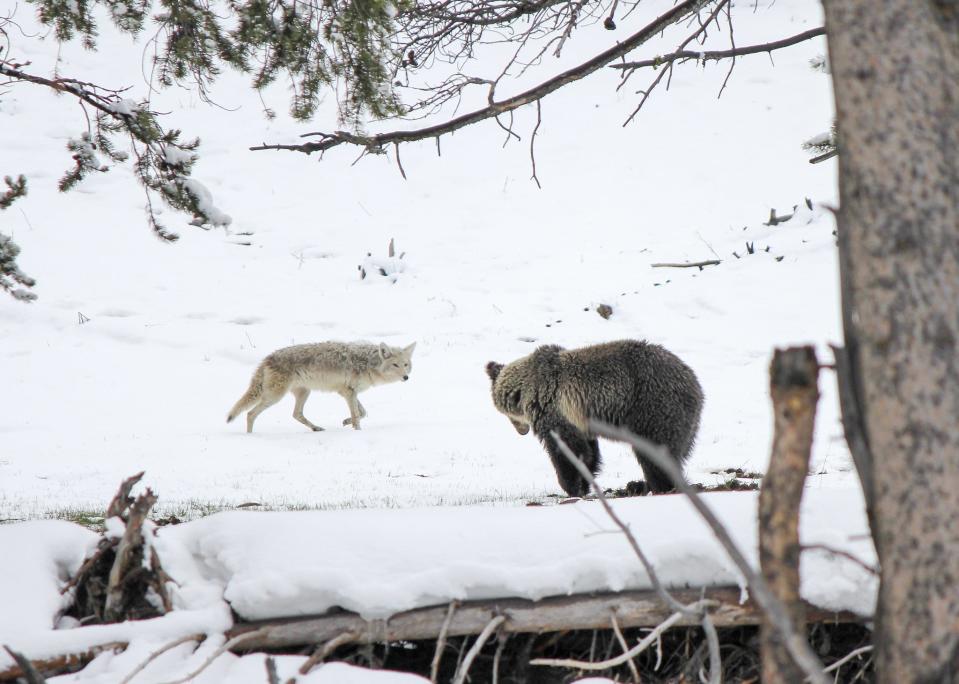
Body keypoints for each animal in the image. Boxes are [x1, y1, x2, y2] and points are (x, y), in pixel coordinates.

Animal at [230, 342, 420, 432]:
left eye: (406, 364)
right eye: (395, 365)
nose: (406, 377)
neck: (367, 363)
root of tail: (267, 358)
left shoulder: (349, 393)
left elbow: (362, 413)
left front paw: (346, 422)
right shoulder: (348, 392)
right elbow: (357, 416)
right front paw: (357, 432)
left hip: (303, 393)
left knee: (296, 414)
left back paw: (316, 428)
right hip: (274, 397)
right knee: (250, 414)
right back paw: (251, 436)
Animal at [488, 340, 704, 496]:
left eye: (508, 415)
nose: (521, 431)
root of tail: (694, 383)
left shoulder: (554, 410)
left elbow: (566, 450)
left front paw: (572, 487)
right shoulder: (580, 421)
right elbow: (588, 452)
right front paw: (584, 484)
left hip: (652, 406)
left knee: (655, 451)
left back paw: (660, 486)